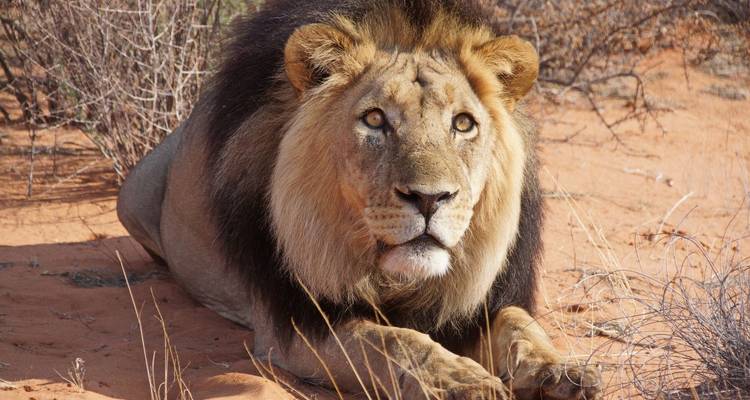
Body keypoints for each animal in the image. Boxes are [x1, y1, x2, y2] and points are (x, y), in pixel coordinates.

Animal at [117, 1, 601, 398]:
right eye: (374, 120)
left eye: (463, 124)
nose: (430, 199)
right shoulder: (297, 324)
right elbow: (391, 342)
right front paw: (460, 380)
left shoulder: (482, 304)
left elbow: (519, 323)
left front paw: (559, 371)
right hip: (132, 196)